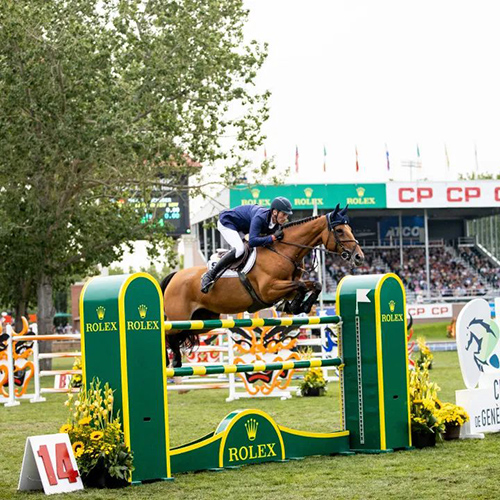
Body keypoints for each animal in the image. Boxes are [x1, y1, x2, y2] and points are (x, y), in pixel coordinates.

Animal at [161, 204, 364, 367]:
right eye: (339, 231)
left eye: (349, 228)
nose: (359, 257)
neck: (284, 251)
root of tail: (175, 276)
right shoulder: (269, 290)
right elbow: (301, 286)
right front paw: (296, 306)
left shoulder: (287, 287)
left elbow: (314, 284)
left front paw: (297, 306)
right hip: (179, 318)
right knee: (169, 333)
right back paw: (174, 361)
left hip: (202, 321)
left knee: (179, 335)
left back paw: (176, 361)